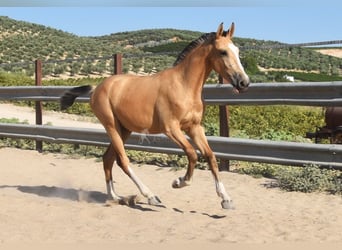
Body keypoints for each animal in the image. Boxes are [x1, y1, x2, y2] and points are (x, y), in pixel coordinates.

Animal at [60, 23, 250, 209]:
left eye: (237, 50)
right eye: (223, 52)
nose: (244, 82)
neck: (183, 86)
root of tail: (97, 88)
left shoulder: (194, 127)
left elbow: (210, 156)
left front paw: (226, 199)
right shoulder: (171, 128)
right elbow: (192, 153)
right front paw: (178, 182)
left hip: (124, 129)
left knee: (108, 159)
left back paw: (117, 197)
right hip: (111, 126)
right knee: (123, 161)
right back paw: (150, 196)